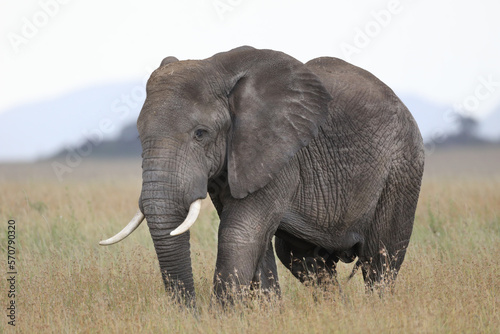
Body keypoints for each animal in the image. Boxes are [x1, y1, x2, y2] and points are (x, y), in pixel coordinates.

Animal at [99, 45, 424, 306]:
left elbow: (239, 233)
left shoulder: (280, 153)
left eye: (201, 134)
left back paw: (376, 309)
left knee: (381, 257)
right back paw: (337, 311)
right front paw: (269, 314)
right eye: (139, 136)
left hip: (403, 167)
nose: (192, 314)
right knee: (300, 257)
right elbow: (256, 238)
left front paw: (223, 318)